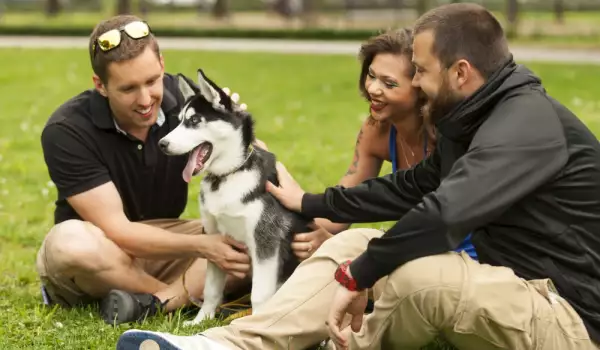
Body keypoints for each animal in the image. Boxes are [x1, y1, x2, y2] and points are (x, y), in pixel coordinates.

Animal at [159, 69, 310, 326]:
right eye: (179, 120)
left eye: (194, 121)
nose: (162, 144)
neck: (229, 175)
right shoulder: (214, 239)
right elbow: (211, 289)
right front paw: (201, 320)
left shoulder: (265, 242)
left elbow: (259, 295)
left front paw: (254, 323)